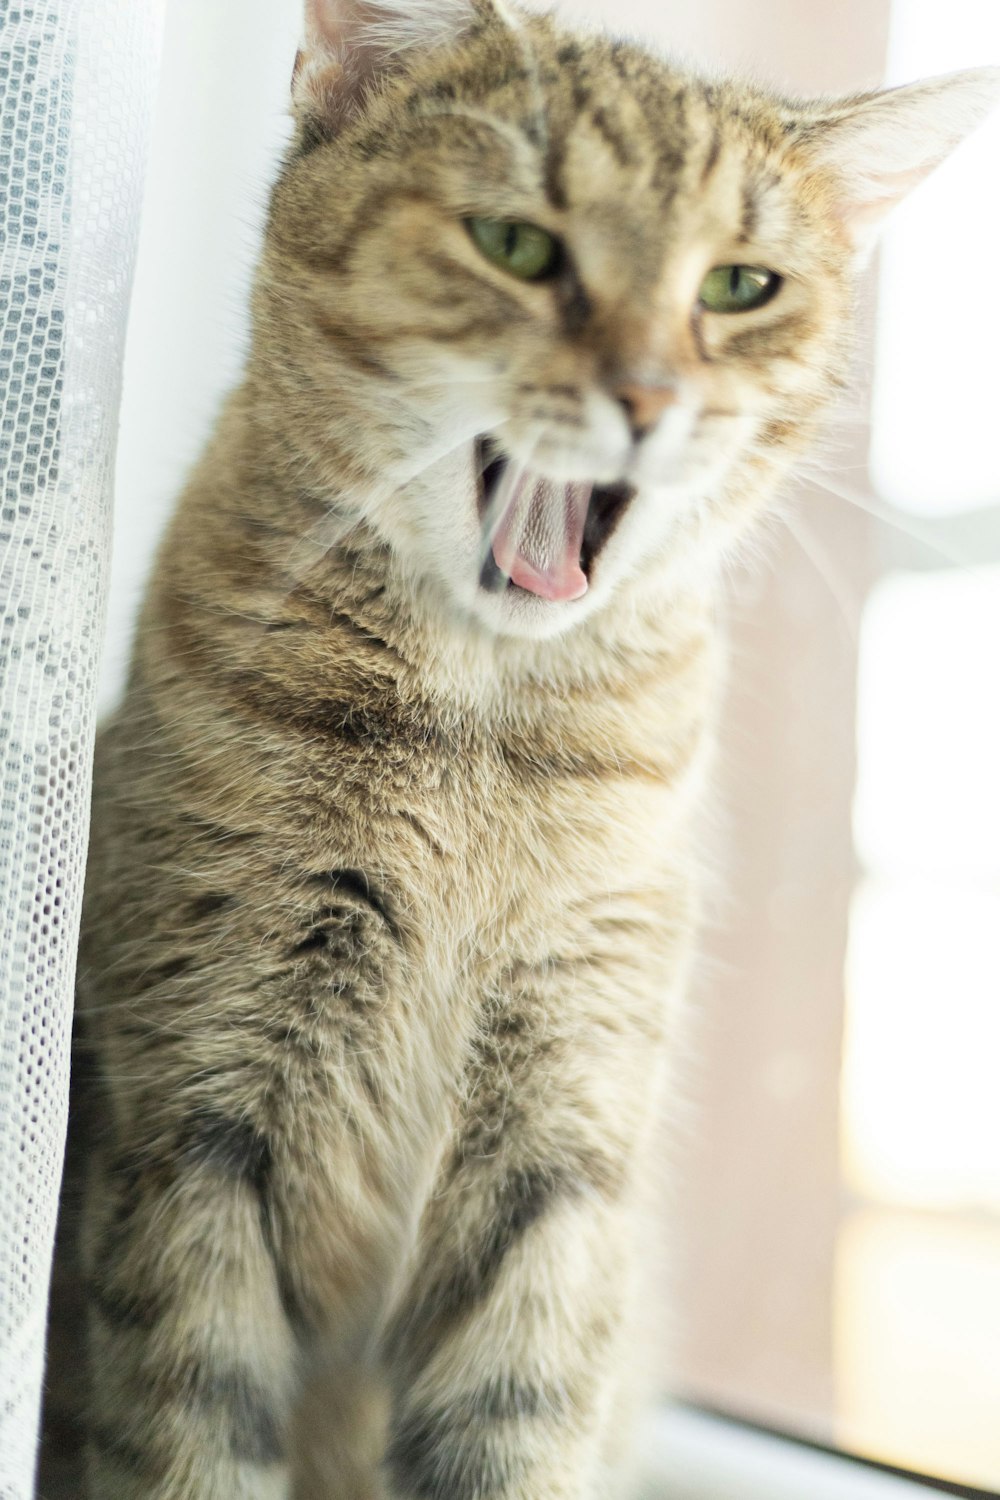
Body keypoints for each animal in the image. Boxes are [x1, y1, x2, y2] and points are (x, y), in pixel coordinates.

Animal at [43, 2, 995, 1500]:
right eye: (518, 244)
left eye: (739, 285)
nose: (651, 396)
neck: (478, 739)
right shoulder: (193, 1117)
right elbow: (192, 1426)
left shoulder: (567, 1134)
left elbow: (522, 1415)